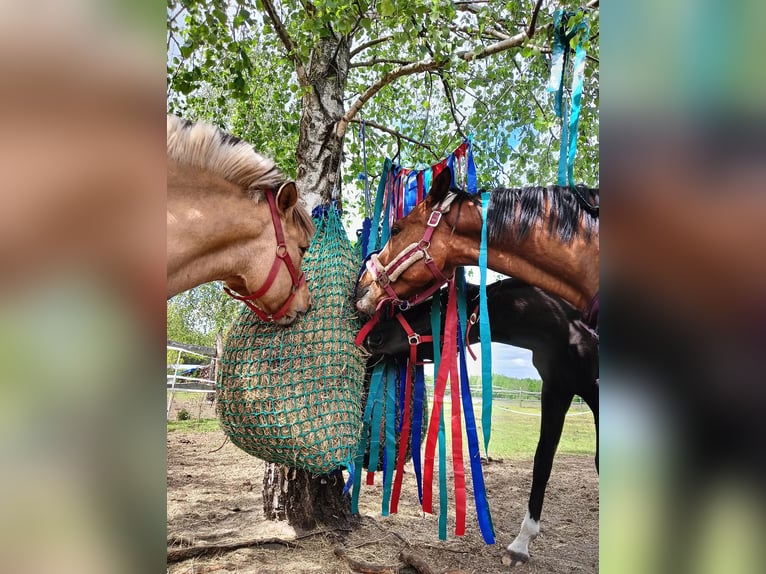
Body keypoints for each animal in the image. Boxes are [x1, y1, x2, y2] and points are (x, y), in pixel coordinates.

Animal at [362, 278, 598, 564]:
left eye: (439, 306)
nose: (374, 336)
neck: (570, 329)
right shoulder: (556, 390)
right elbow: (542, 462)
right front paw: (521, 544)